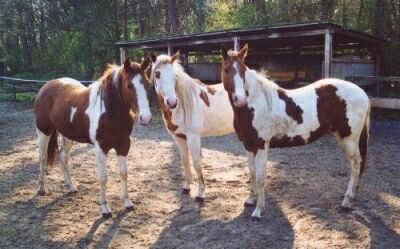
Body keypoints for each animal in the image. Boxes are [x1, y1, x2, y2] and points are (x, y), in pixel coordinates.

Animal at [32, 58, 152, 218]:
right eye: (129, 85)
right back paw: (41, 189)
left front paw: (127, 203)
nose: (146, 118)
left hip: (67, 135)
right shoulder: (101, 148)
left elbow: (124, 173)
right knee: (43, 157)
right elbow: (103, 177)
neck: (109, 110)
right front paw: (105, 209)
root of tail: (46, 86)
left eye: (148, 84)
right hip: (43, 131)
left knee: (63, 157)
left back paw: (71, 187)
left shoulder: (123, 145)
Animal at [150, 51, 234, 201]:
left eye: (175, 76)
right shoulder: (178, 137)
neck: (183, 107)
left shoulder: (193, 137)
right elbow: (185, 161)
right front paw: (186, 187)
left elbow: (196, 163)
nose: (172, 102)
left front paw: (200, 193)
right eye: (157, 74)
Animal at [220, 43, 370, 219]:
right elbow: (251, 173)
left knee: (356, 165)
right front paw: (250, 200)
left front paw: (258, 210)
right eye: (226, 69)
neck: (255, 105)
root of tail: (362, 93)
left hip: (350, 140)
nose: (241, 99)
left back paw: (347, 201)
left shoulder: (261, 145)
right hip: (342, 138)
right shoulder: (248, 145)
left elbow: (261, 177)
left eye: (243, 71)